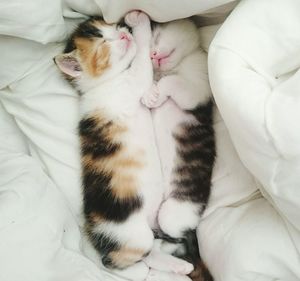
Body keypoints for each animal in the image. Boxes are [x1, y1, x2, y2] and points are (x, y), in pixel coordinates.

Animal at [142, 18, 216, 278]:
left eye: (156, 37)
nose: (152, 55)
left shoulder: (198, 92)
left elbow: (172, 82)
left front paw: (156, 93)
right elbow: (164, 82)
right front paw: (152, 93)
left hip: (174, 212)